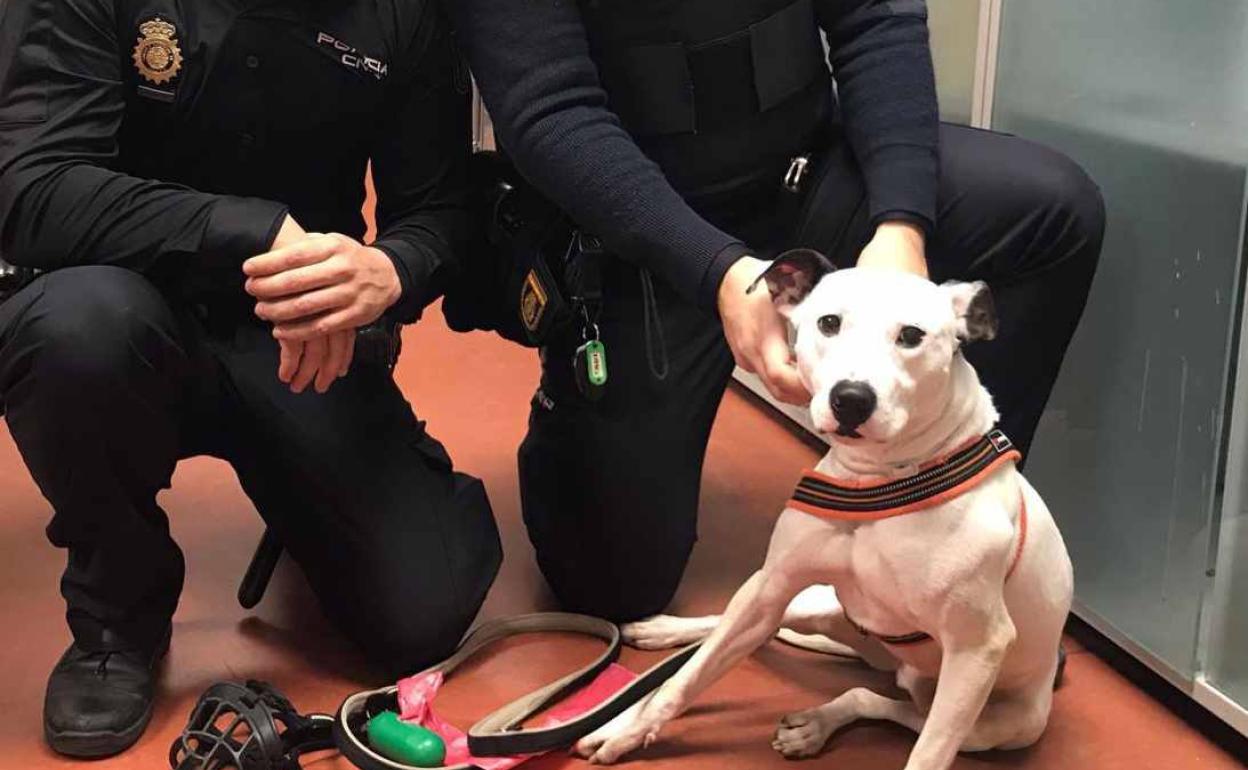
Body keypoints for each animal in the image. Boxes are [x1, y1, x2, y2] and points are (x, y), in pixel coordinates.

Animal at [574, 250, 1073, 770]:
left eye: (912, 335)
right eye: (829, 323)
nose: (851, 398)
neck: (880, 482)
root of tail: (889, 663)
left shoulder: (977, 650)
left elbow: (927, 755)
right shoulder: (773, 585)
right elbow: (685, 679)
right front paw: (627, 730)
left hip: (993, 722)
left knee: (875, 701)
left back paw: (815, 725)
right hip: (811, 603)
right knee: (734, 631)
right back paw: (661, 638)